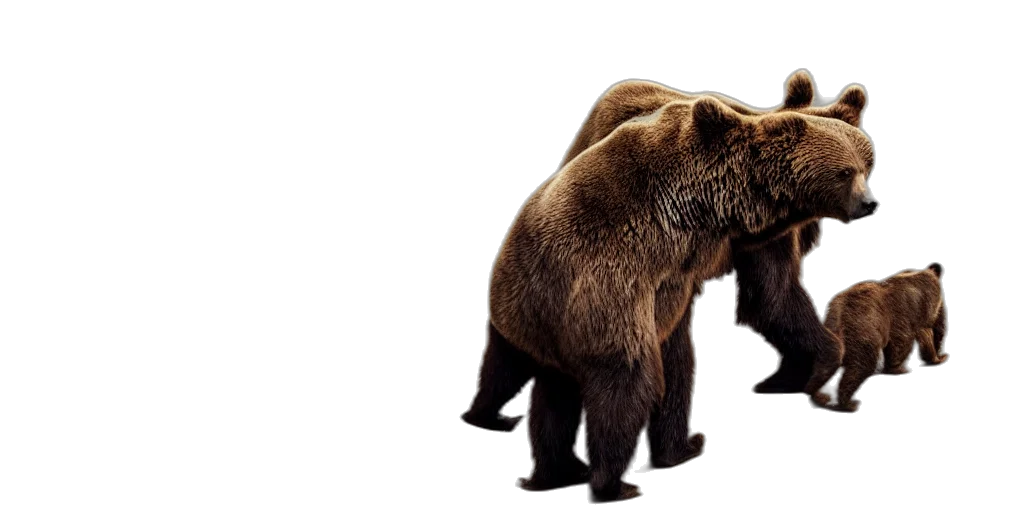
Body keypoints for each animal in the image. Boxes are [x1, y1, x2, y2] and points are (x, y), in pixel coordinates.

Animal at [462, 93, 878, 501]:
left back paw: (545, 459)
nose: (868, 203)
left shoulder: (731, 244)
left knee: (536, 384)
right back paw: (612, 480)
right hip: (596, 299)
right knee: (623, 382)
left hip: (530, 316)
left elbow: (771, 297)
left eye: (867, 167)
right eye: (844, 172)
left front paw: (805, 367)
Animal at [809, 263, 949, 414]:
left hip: (829, 339)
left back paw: (821, 396)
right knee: (862, 365)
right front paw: (900, 369)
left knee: (824, 368)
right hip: (862, 329)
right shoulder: (900, 315)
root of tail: (836, 314)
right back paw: (849, 404)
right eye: (940, 298)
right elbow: (902, 342)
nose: (941, 354)